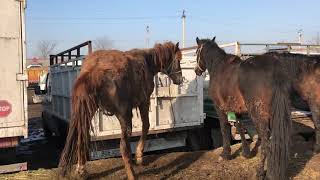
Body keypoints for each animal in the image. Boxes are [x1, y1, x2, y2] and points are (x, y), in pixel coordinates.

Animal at [58, 41, 182, 179]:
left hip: (87, 111)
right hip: (123, 115)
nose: (180, 79)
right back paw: (132, 175)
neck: (147, 61)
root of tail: (92, 73)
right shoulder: (144, 101)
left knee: (81, 136)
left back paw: (81, 168)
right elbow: (146, 126)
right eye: (178, 59)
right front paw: (139, 156)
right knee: (123, 147)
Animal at [195, 37, 292, 180]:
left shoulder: (219, 108)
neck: (219, 67)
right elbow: (240, 127)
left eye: (196, 52)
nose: (196, 71)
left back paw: (261, 172)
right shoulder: (237, 110)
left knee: (266, 142)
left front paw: (226, 154)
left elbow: (224, 129)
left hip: (258, 116)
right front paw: (246, 153)